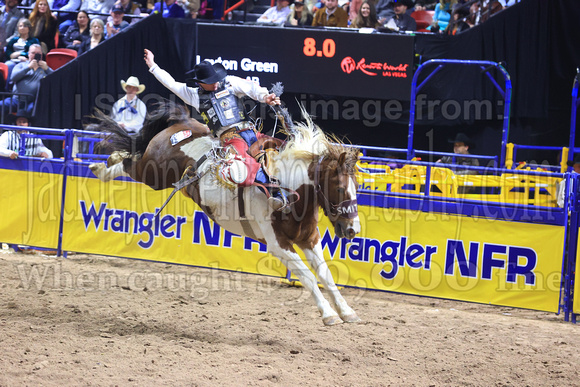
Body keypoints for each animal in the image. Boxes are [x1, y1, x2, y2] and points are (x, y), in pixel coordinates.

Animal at [89, 101, 362, 326]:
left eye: (356, 187)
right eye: (339, 188)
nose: (352, 230)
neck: (285, 189)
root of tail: (183, 123)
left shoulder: (309, 239)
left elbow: (325, 274)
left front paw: (346, 311)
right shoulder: (279, 245)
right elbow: (307, 276)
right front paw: (328, 314)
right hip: (153, 172)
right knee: (129, 163)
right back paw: (101, 167)